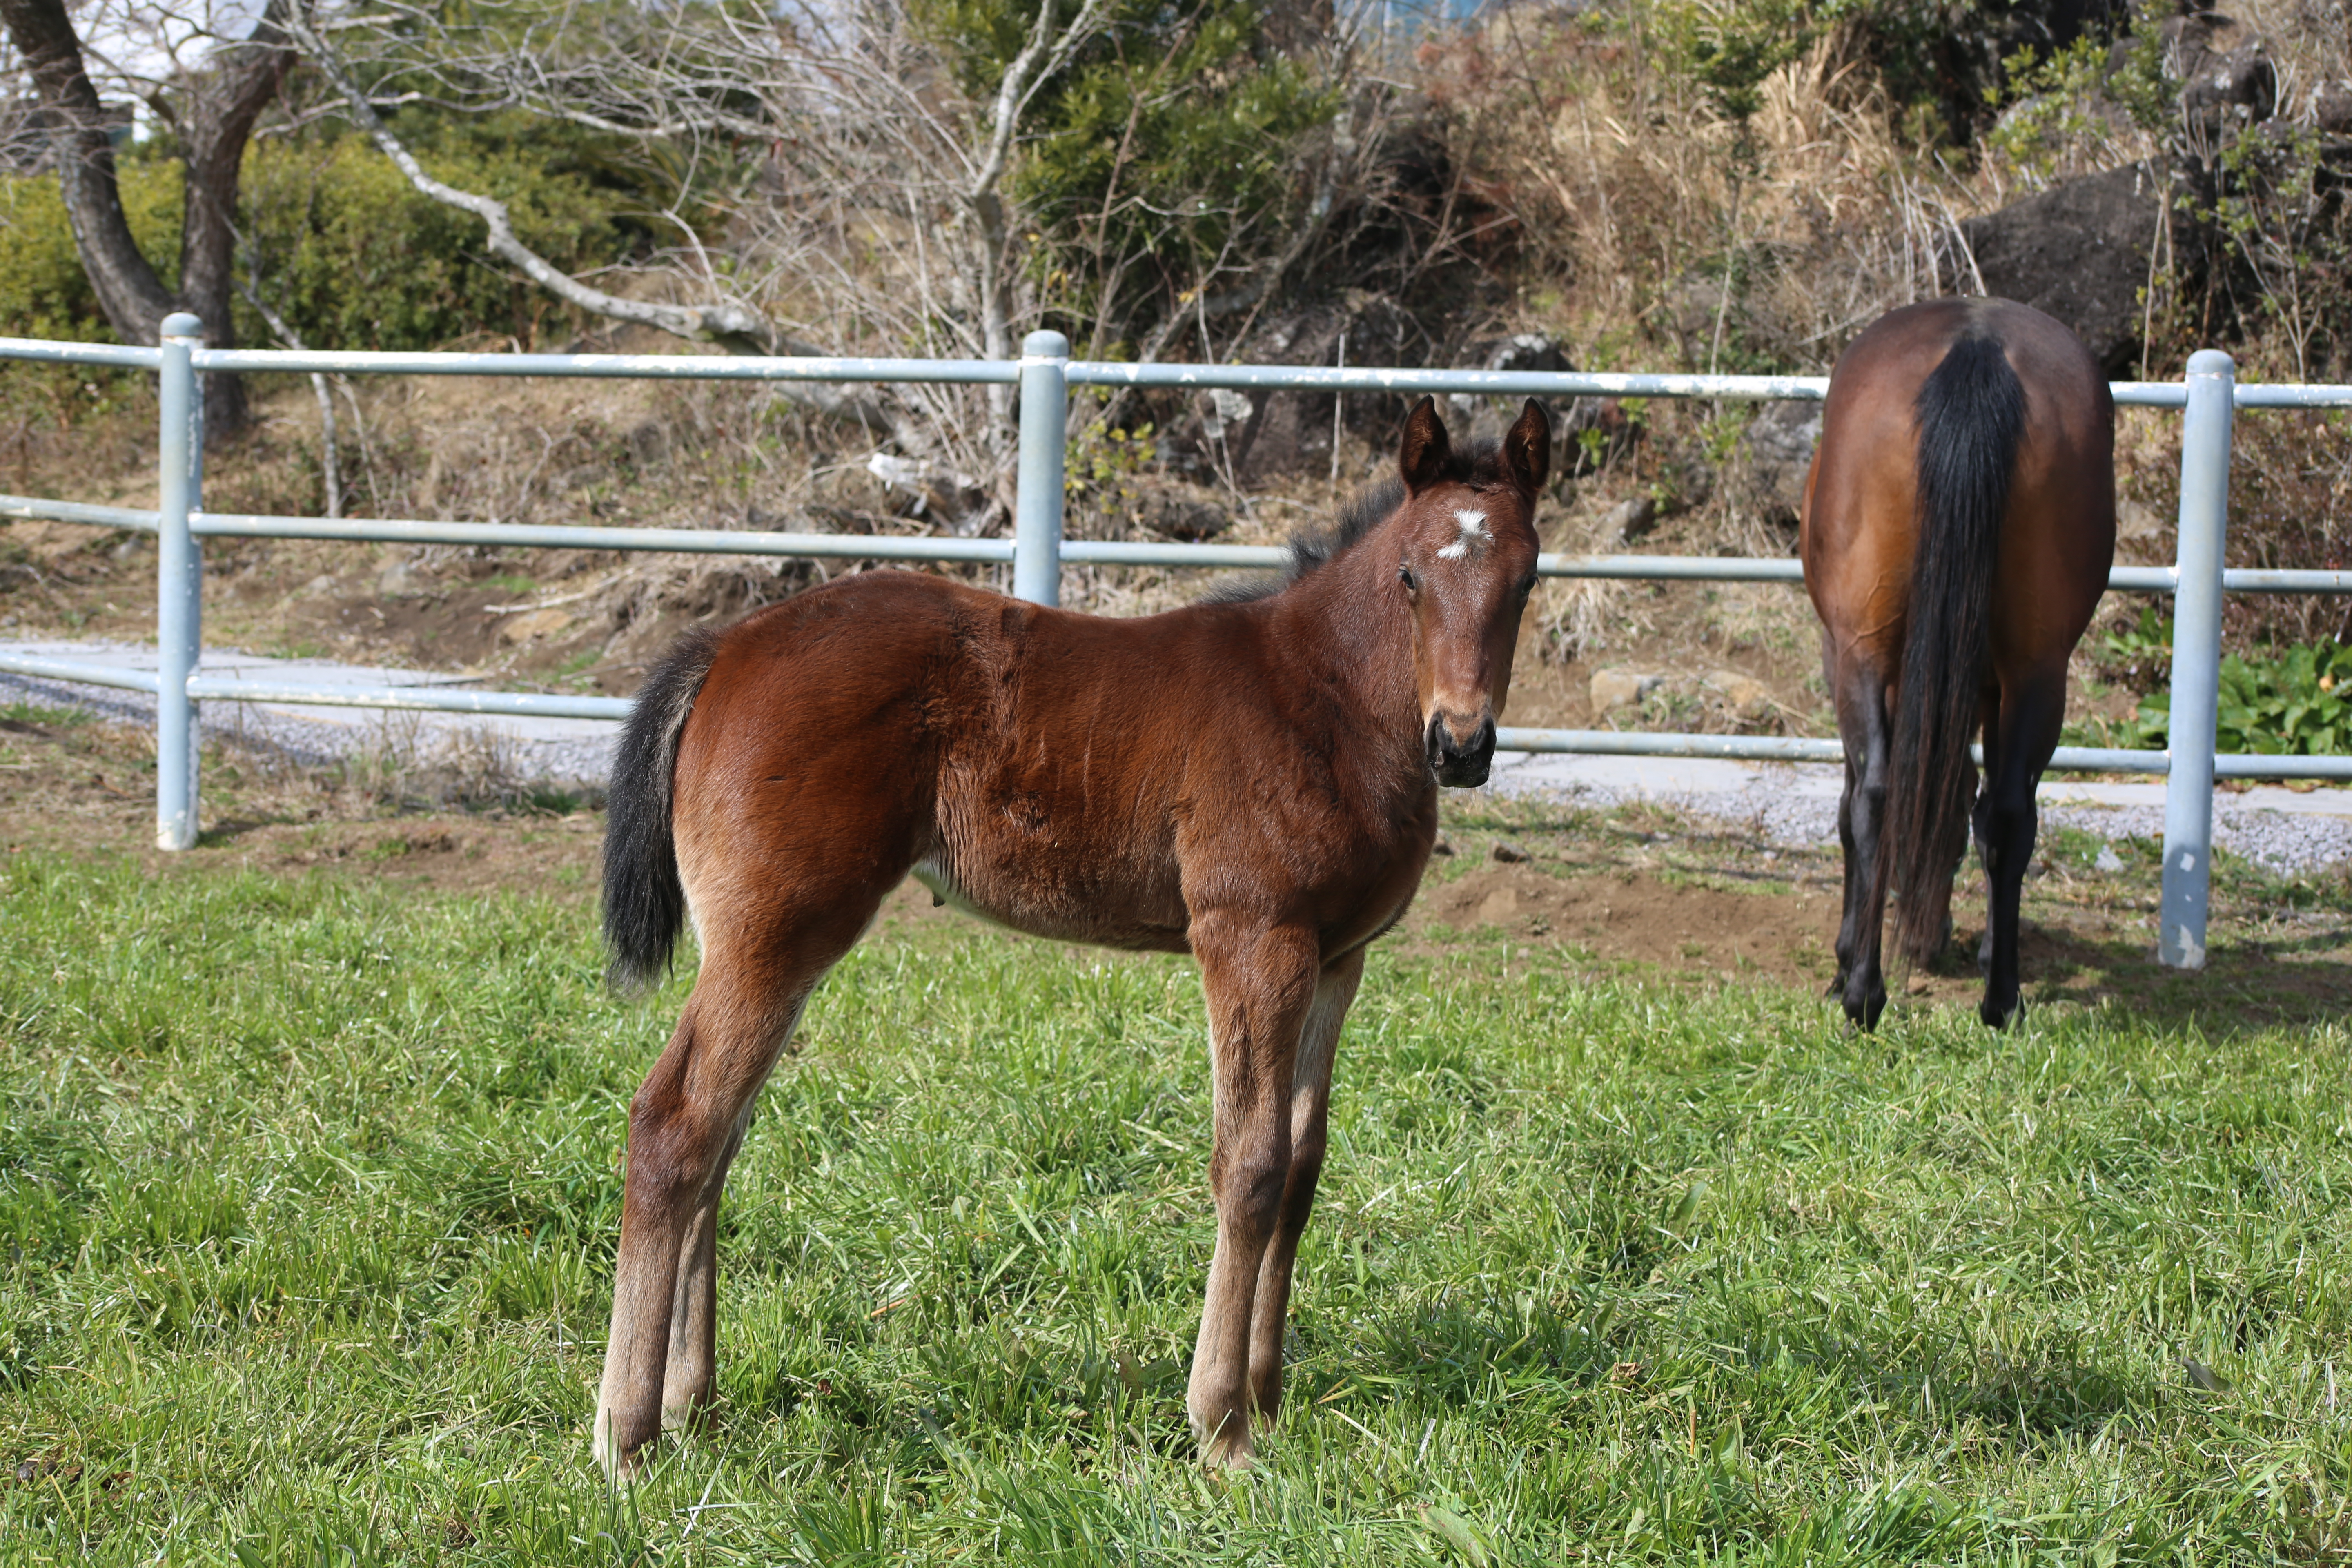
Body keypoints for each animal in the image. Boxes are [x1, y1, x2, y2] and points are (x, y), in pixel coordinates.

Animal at [588, 399, 1552, 1476]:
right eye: (1410, 578)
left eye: (1526, 579)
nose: (1460, 745)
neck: (1325, 700)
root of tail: (727, 644)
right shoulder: (1250, 941)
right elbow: (1249, 1165)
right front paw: (1221, 1425)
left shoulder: (1339, 958)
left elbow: (1303, 1165)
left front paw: (1268, 1399)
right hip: (775, 933)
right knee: (674, 1125)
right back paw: (625, 1434)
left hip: (775, 945)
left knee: (720, 1136)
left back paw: (694, 1407)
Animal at [1797, 297, 2117, 1029]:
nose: (1926, 942)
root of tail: (1977, 343)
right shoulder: (1996, 688)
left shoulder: (1844, 656)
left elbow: (1852, 806)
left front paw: (1846, 959)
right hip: (2039, 668)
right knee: (2008, 813)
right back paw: (2001, 1002)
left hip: (1862, 651)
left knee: (1878, 795)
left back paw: (1864, 994)